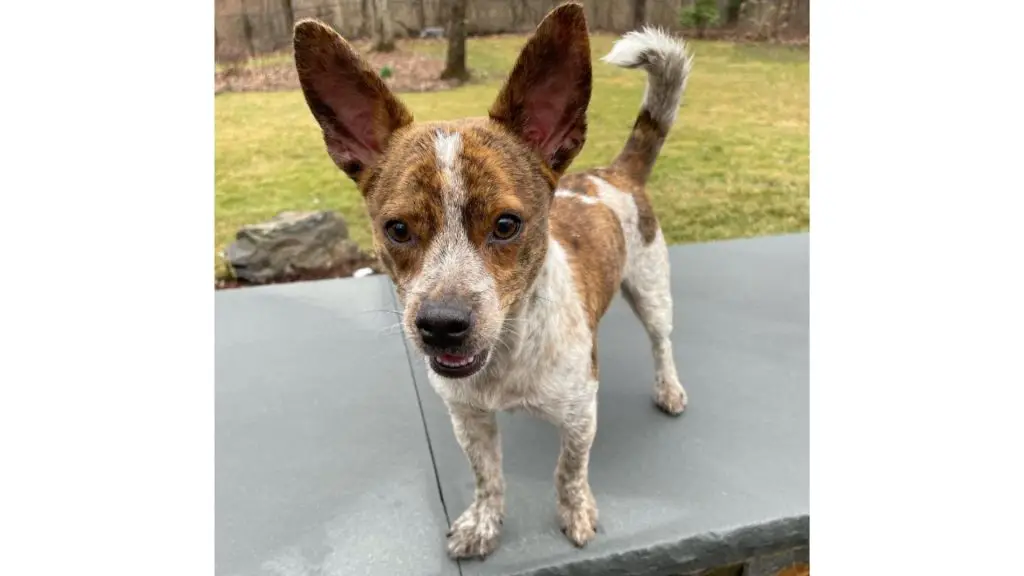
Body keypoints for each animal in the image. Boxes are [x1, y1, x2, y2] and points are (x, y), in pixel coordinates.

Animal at [292, 0, 692, 557]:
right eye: (397, 229)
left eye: (506, 225)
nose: (441, 325)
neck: (506, 358)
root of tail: (617, 172)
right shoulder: (469, 418)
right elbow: (488, 477)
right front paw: (484, 522)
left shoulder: (578, 417)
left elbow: (568, 471)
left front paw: (575, 511)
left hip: (652, 289)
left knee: (661, 341)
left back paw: (669, 387)